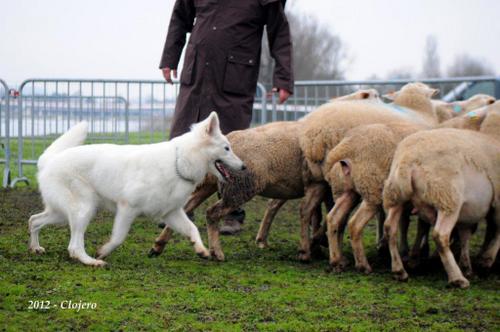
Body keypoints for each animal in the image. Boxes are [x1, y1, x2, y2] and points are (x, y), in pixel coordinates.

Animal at [28, 113, 244, 266]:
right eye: (227, 148)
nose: (244, 167)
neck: (180, 162)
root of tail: (50, 160)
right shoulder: (127, 209)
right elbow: (118, 237)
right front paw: (103, 251)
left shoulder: (172, 213)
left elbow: (192, 228)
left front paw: (201, 249)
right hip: (84, 210)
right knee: (73, 246)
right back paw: (92, 261)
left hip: (63, 213)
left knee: (34, 220)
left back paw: (35, 248)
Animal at [382, 102, 500, 288]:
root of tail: (409, 159)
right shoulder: (497, 201)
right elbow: (497, 231)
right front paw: (485, 261)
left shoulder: (469, 211)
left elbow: (465, 235)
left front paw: (468, 266)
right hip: (447, 198)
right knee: (440, 235)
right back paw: (457, 278)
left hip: (396, 194)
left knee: (390, 228)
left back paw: (399, 271)